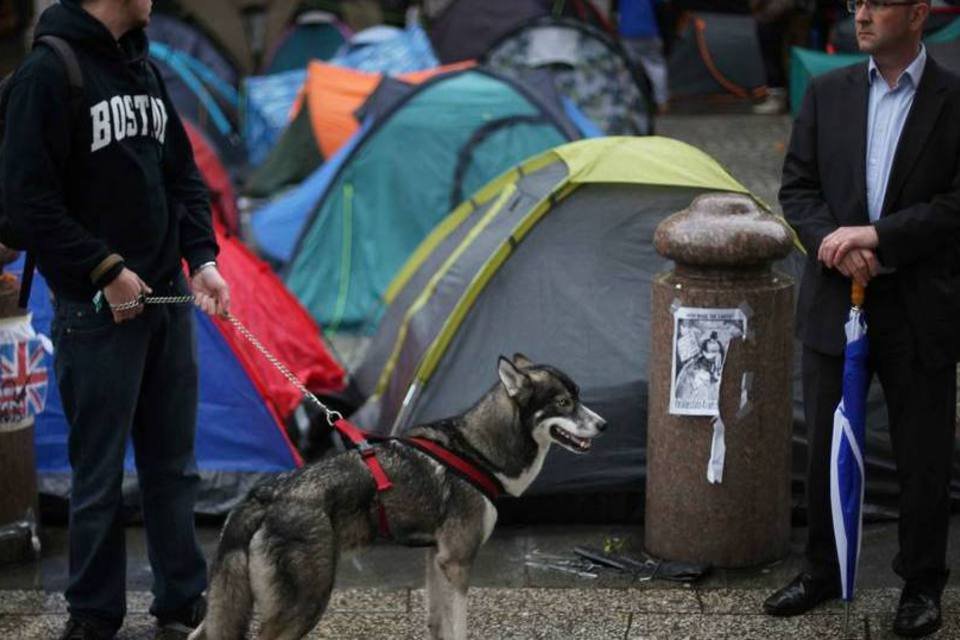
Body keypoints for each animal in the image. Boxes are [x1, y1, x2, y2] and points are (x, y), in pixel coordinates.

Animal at [190, 356, 604, 640]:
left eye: (580, 397)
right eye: (564, 403)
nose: (603, 424)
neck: (476, 451)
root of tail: (262, 496)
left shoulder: (437, 560)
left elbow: (439, 624)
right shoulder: (457, 562)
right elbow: (458, 627)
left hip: (228, 608)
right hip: (306, 602)